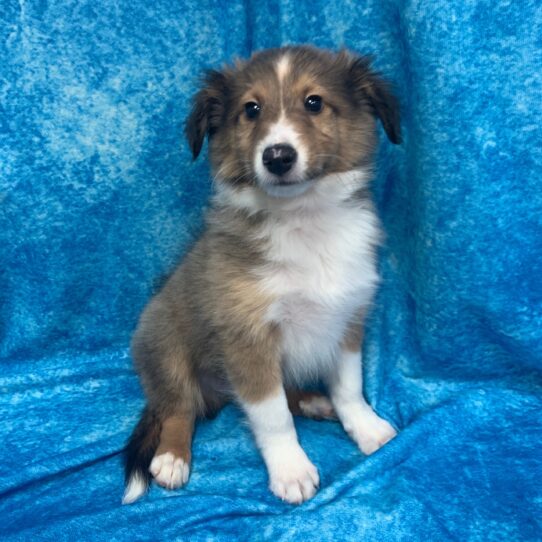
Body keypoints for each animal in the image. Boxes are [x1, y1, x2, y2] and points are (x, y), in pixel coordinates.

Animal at [124, 44, 404, 508]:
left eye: (314, 102)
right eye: (251, 109)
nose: (277, 157)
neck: (304, 220)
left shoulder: (348, 319)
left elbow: (349, 387)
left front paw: (365, 427)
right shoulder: (248, 338)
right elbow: (272, 416)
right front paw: (291, 470)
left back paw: (313, 402)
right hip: (165, 346)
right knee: (177, 408)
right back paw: (171, 458)